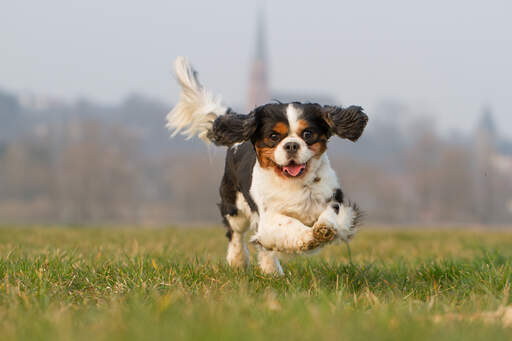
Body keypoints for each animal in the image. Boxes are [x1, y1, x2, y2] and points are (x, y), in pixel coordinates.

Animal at [168, 55, 368, 274]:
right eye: (273, 136)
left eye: (307, 134)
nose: (291, 145)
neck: (295, 182)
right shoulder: (268, 217)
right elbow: (287, 225)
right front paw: (310, 237)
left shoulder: (335, 200)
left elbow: (332, 216)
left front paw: (324, 228)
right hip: (235, 207)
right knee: (236, 235)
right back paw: (238, 261)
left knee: (262, 246)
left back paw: (271, 271)